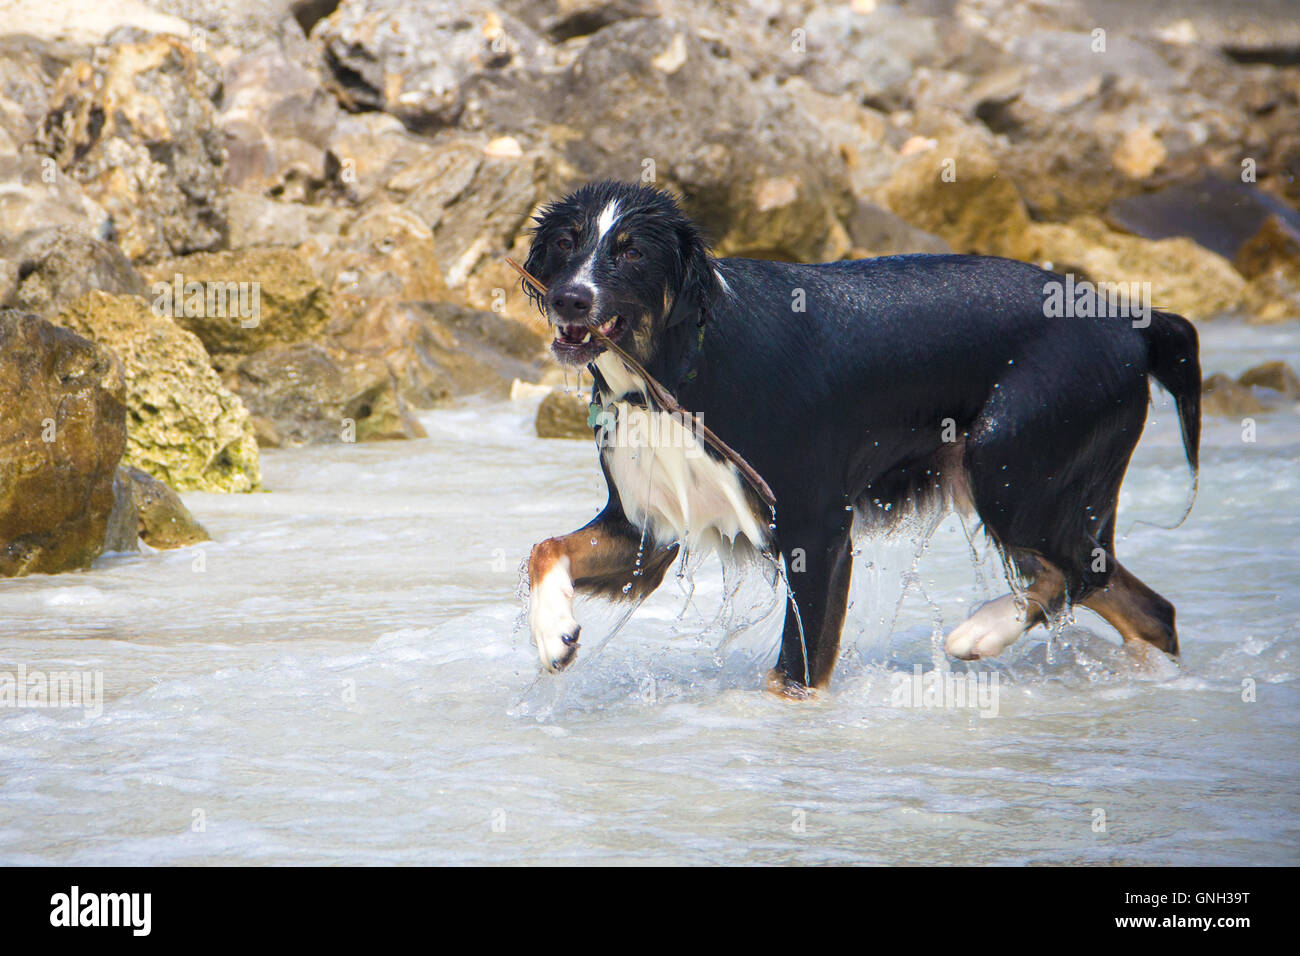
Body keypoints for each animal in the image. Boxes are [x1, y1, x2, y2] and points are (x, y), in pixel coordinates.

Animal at [517, 179, 1196, 697]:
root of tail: (1130, 321)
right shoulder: (647, 530)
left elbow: (794, 678)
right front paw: (555, 633)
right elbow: (544, 549)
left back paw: (982, 630)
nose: (568, 298)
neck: (680, 368)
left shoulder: (816, 531)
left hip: (1010, 468)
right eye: (566, 243)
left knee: (1082, 572)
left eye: (631, 253)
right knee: (1147, 608)